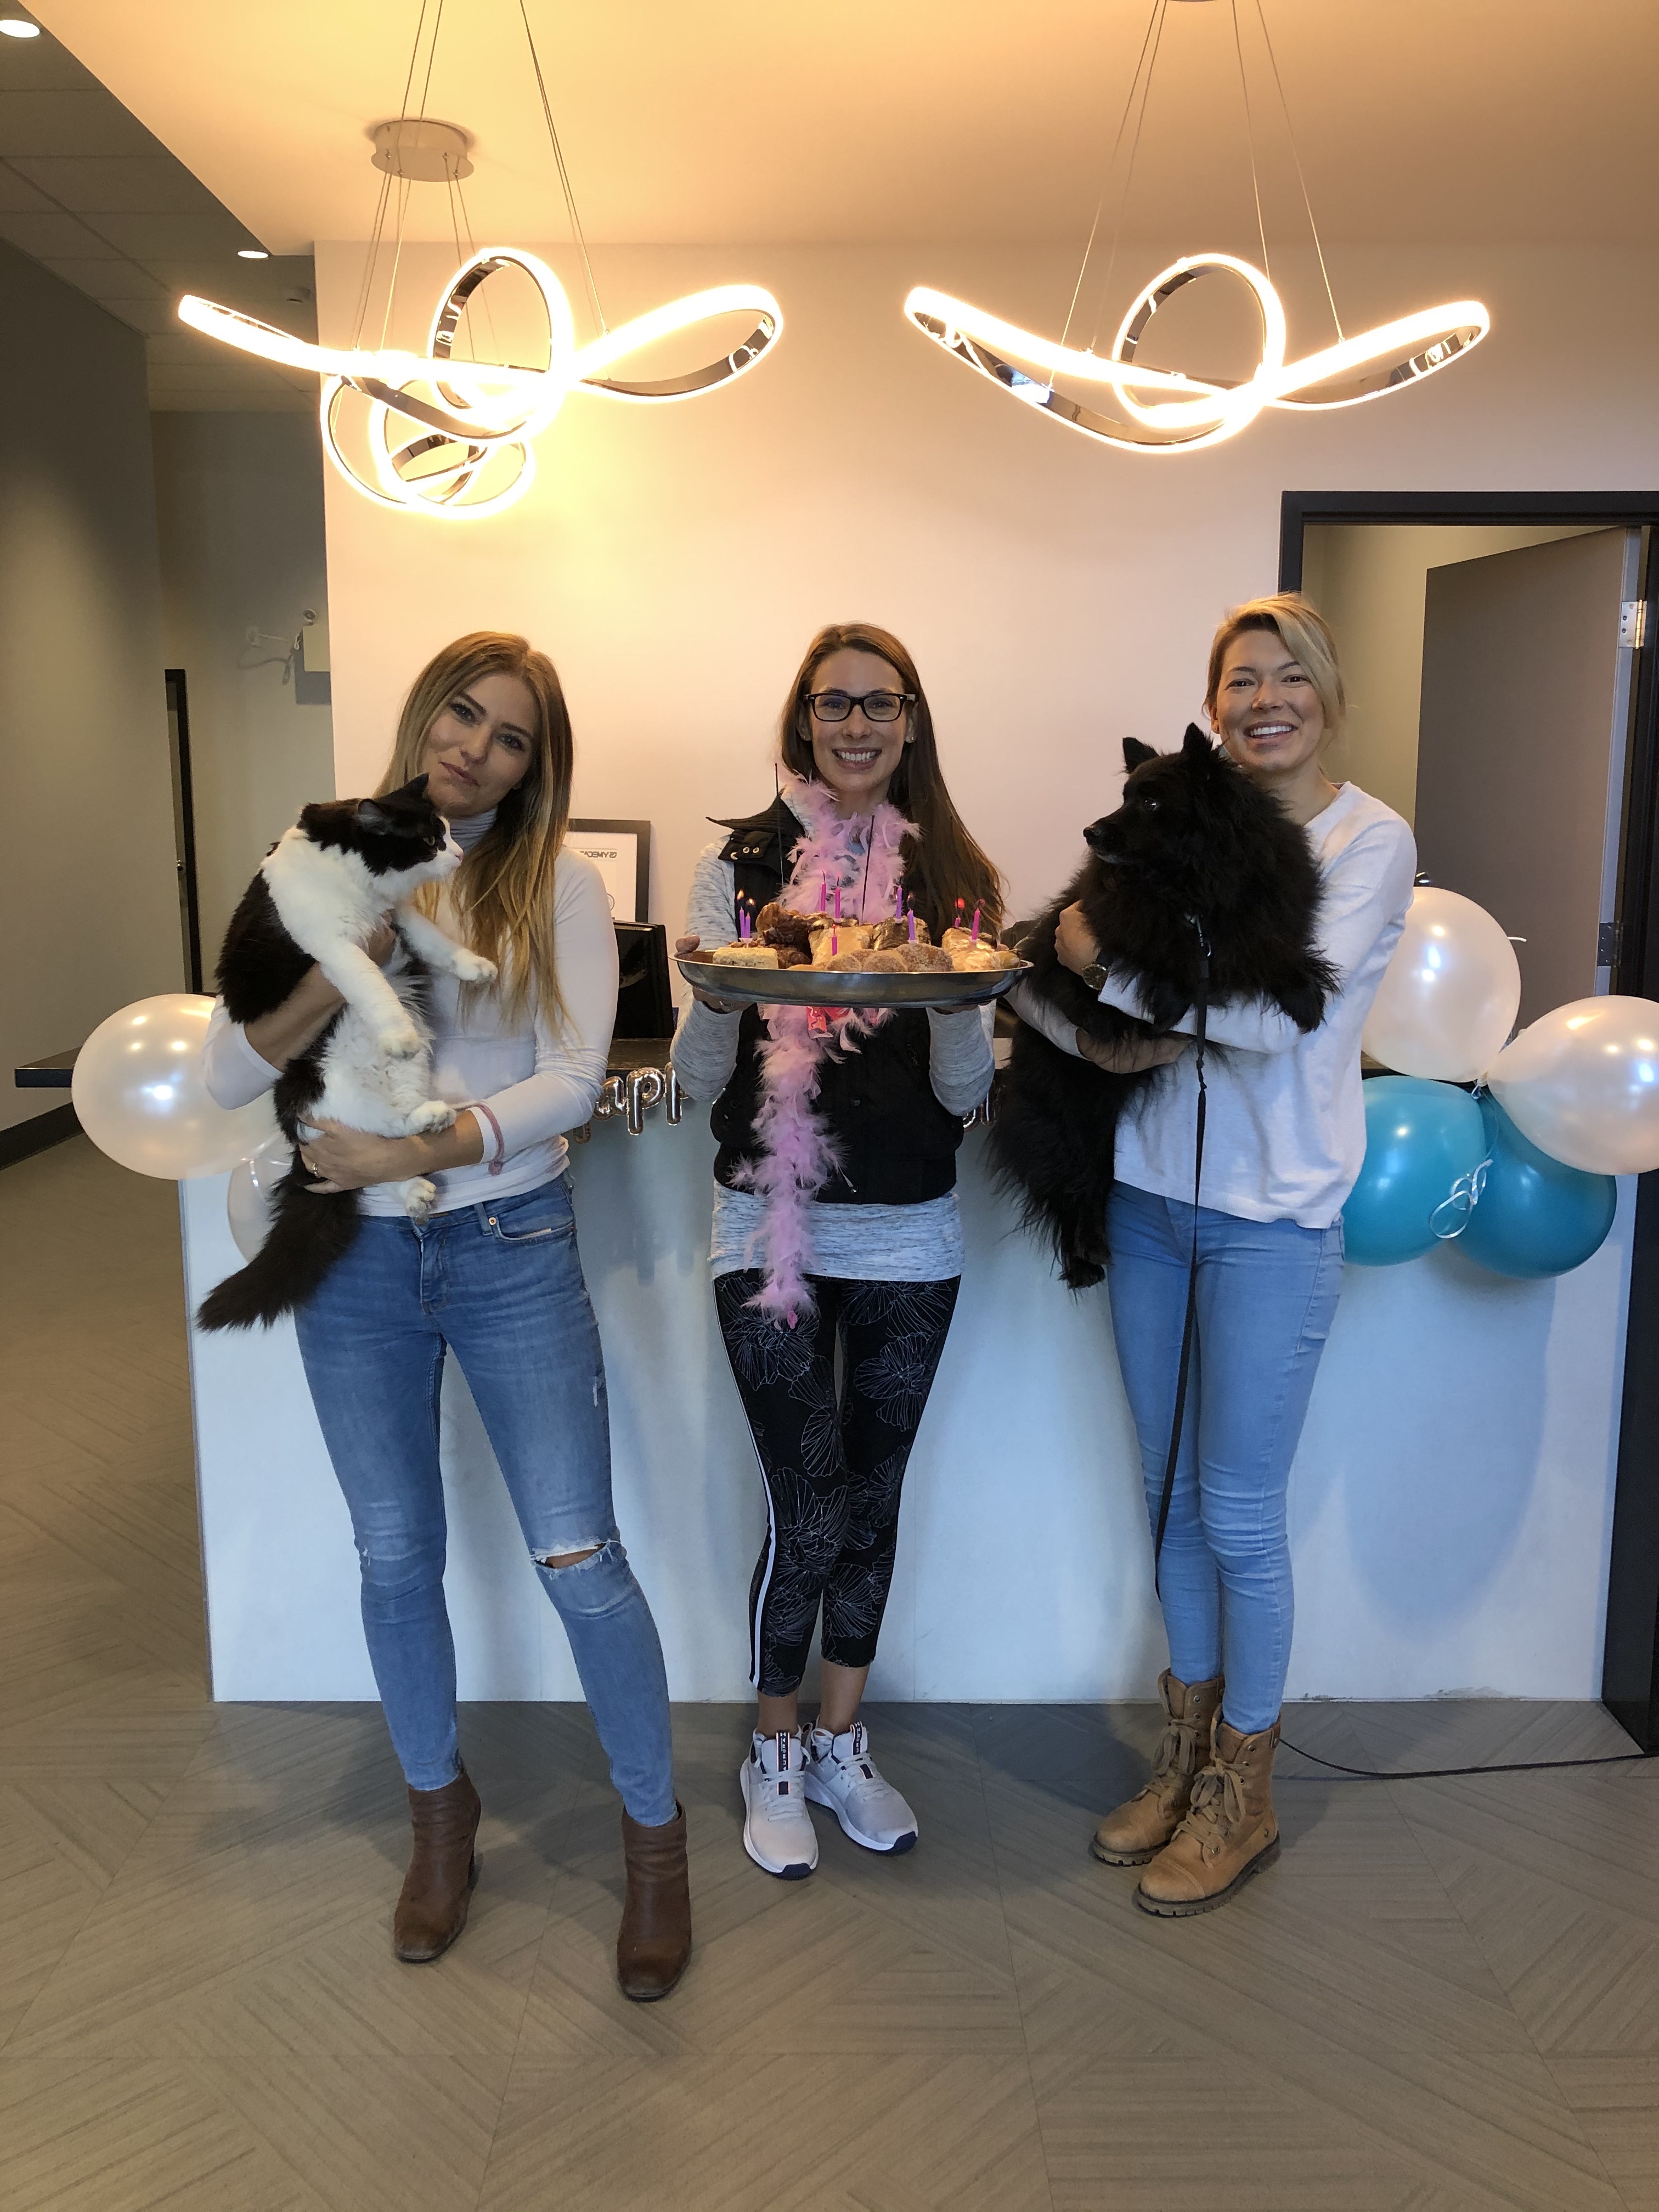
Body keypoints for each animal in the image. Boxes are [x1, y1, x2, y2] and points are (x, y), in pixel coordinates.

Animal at [195, 774, 497, 1332]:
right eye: (430, 841)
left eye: (447, 833)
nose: (459, 853)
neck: (357, 881)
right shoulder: (335, 946)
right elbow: (371, 985)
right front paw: (396, 1032)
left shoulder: (396, 917)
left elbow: (435, 940)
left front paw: (475, 967)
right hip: (327, 1091)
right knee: (372, 1135)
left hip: (399, 1085)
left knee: (389, 1140)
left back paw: (427, 1144)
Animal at [990, 724, 1337, 1290]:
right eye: (1124, 797)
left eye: (1151, 802)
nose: (1091, 831)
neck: (1190, 885)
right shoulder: (1103, 935)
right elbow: (1160, 961)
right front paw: (1170, 1003)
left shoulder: (1252, 922)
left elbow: (1270, 950)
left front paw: (1305, 995)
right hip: (1075, 1117)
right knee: (1073, 1186)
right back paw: (1087, 1255)